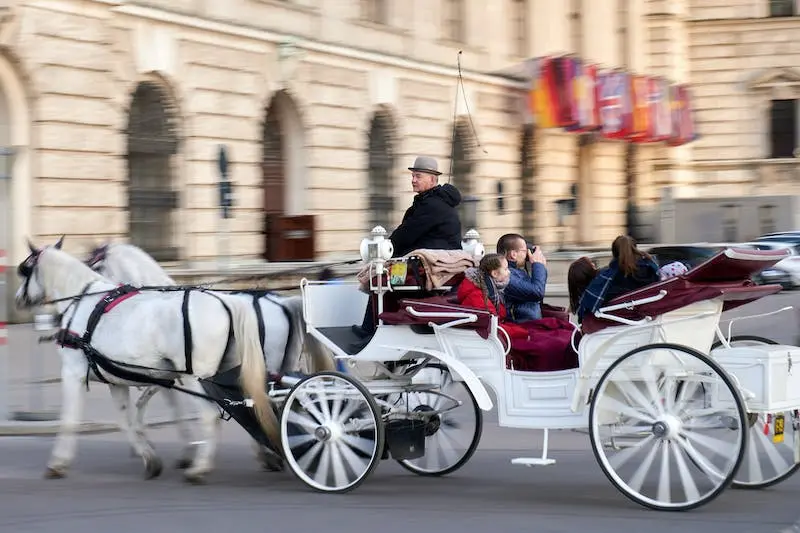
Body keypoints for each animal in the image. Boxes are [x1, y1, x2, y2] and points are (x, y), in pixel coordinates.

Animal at [14, 237, 282, 482]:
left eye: (25, 270)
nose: (18, 299)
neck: (82, 302)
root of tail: (227, 302)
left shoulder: (73, 373)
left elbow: (70, 419)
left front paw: (57, 463)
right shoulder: (118, 380)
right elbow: (127, 419)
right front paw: (150, 457)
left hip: (197, 378)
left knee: (211, 414)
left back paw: (200, 468)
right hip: (229, 373)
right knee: (250, 405)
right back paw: (266, 452)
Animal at [86, 239, 336, 468]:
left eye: (94, 265)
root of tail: (284, 303)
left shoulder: (170, 372)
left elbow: (157, 403)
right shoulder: (168, 372)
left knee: (268, 402)